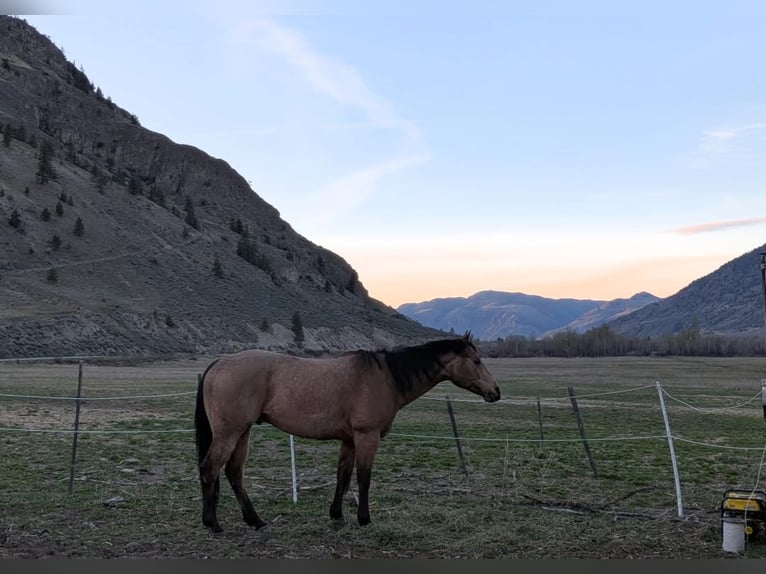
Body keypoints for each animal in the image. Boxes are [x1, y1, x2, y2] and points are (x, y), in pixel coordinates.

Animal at [194, 333, 501, 533]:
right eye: (476, 360)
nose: (495, 392)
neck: (385, 377)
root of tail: (218, 363)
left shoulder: (349, 440)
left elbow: (343, 476)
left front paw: (337, 515)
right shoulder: (367, 436)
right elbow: (364, 478)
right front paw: (364, 519)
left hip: (242, 432)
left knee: (233, 473)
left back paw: (254, 521)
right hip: (230, 433)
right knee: (210, 469)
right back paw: (213, 524)